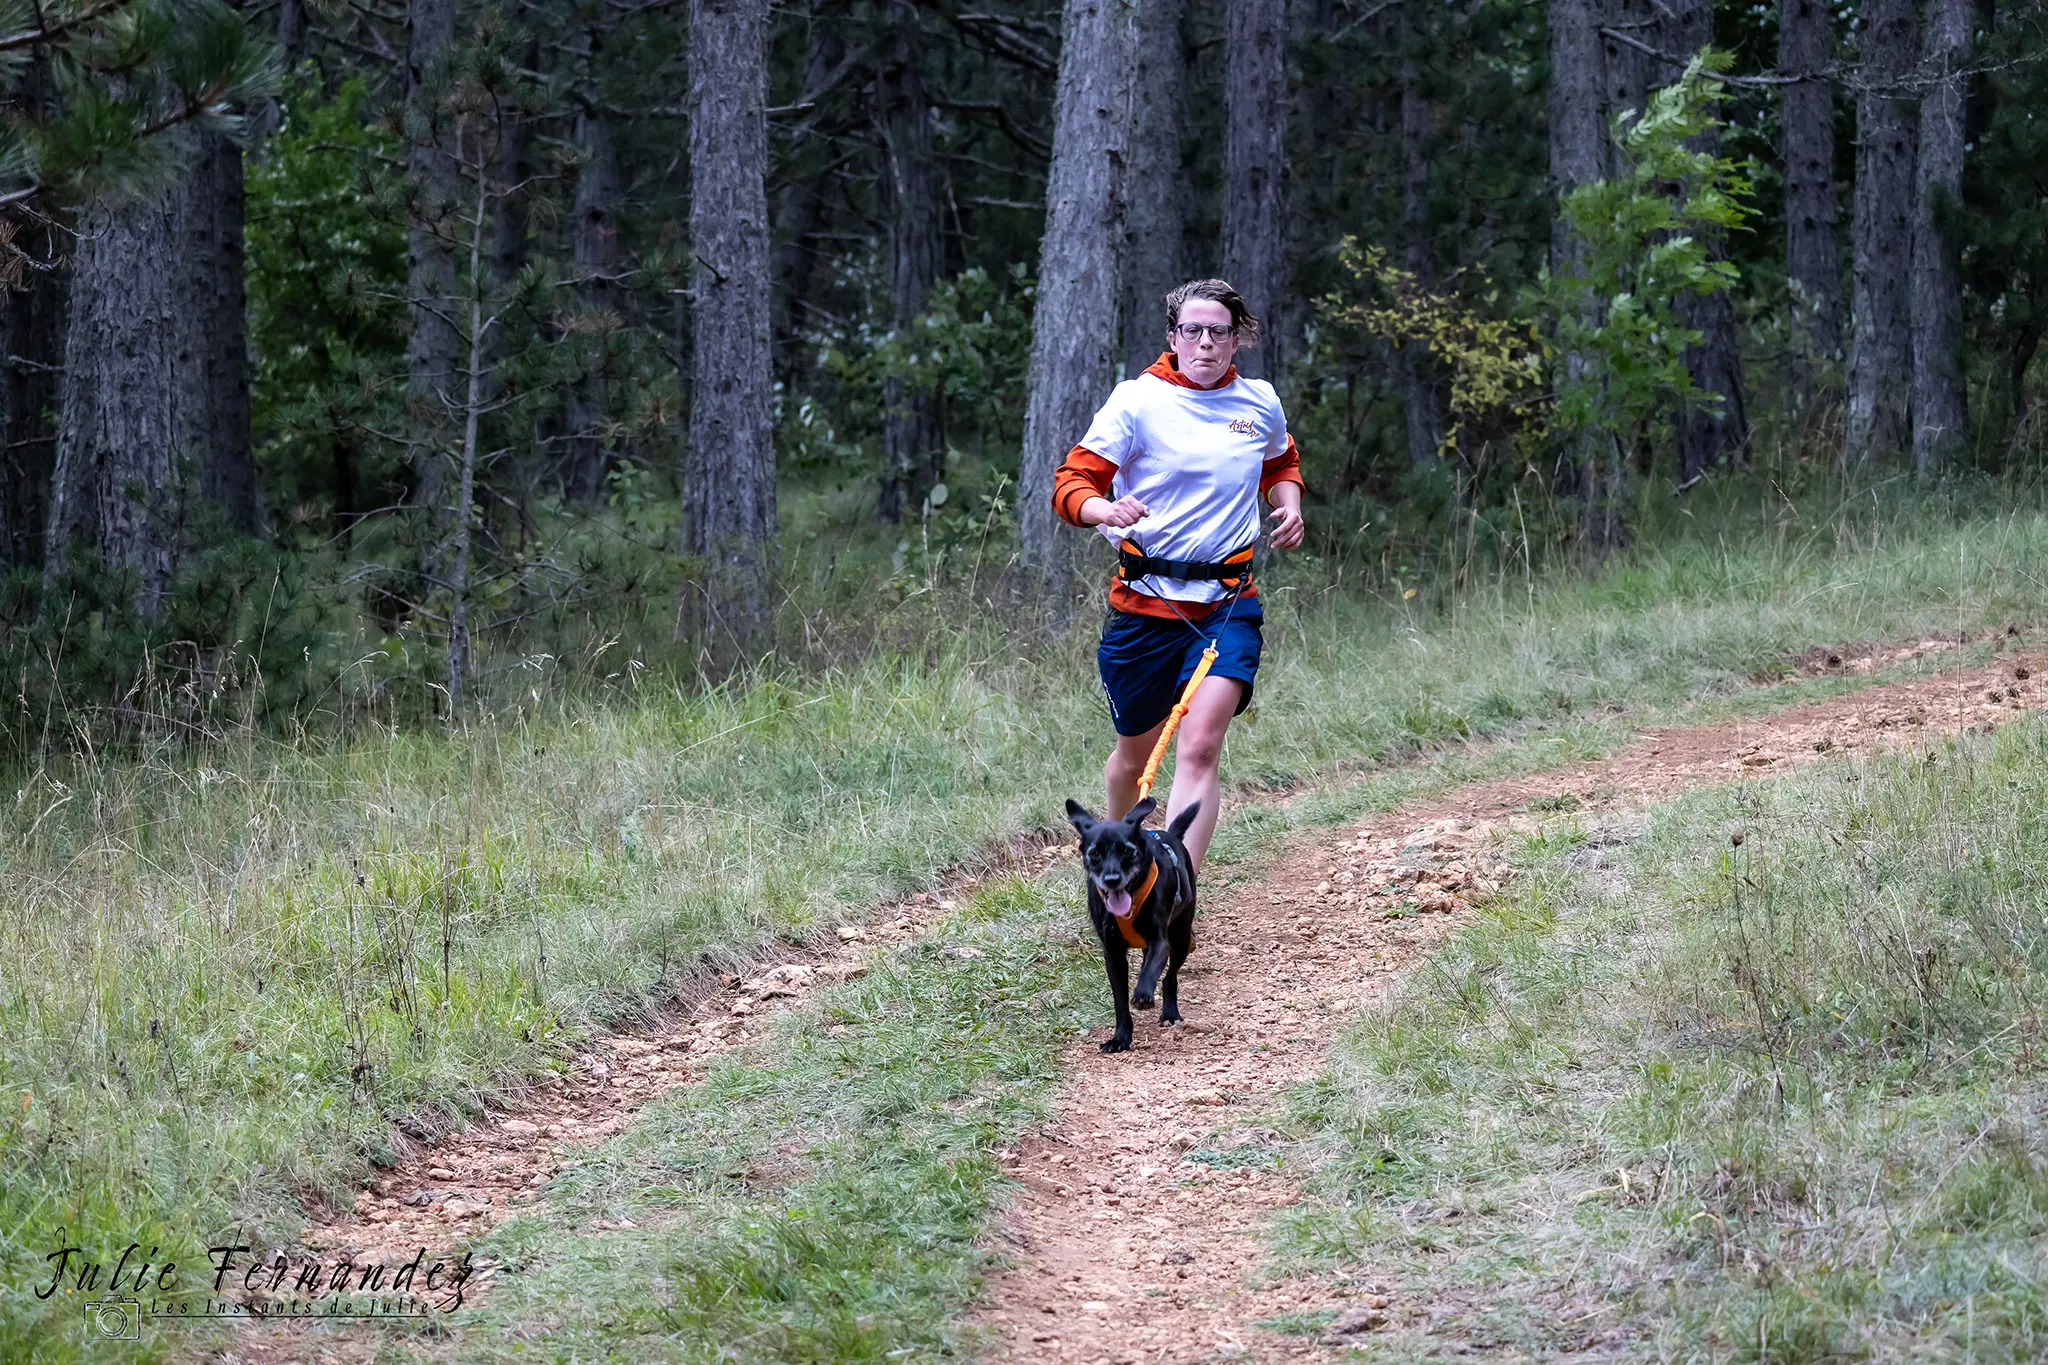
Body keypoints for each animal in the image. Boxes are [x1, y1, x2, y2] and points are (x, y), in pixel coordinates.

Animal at [1073, 794, 1196, 1055]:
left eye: (1128, 852)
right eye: (1094, 853)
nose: (1111, 880)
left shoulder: (1160, 941)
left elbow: (1152, 970)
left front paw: (1143, 994)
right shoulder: (1113, 955)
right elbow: (1120, 1002)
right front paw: (1120, 1038)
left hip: (1180, 937)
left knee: (1169, 976)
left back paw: (1170, 1012)